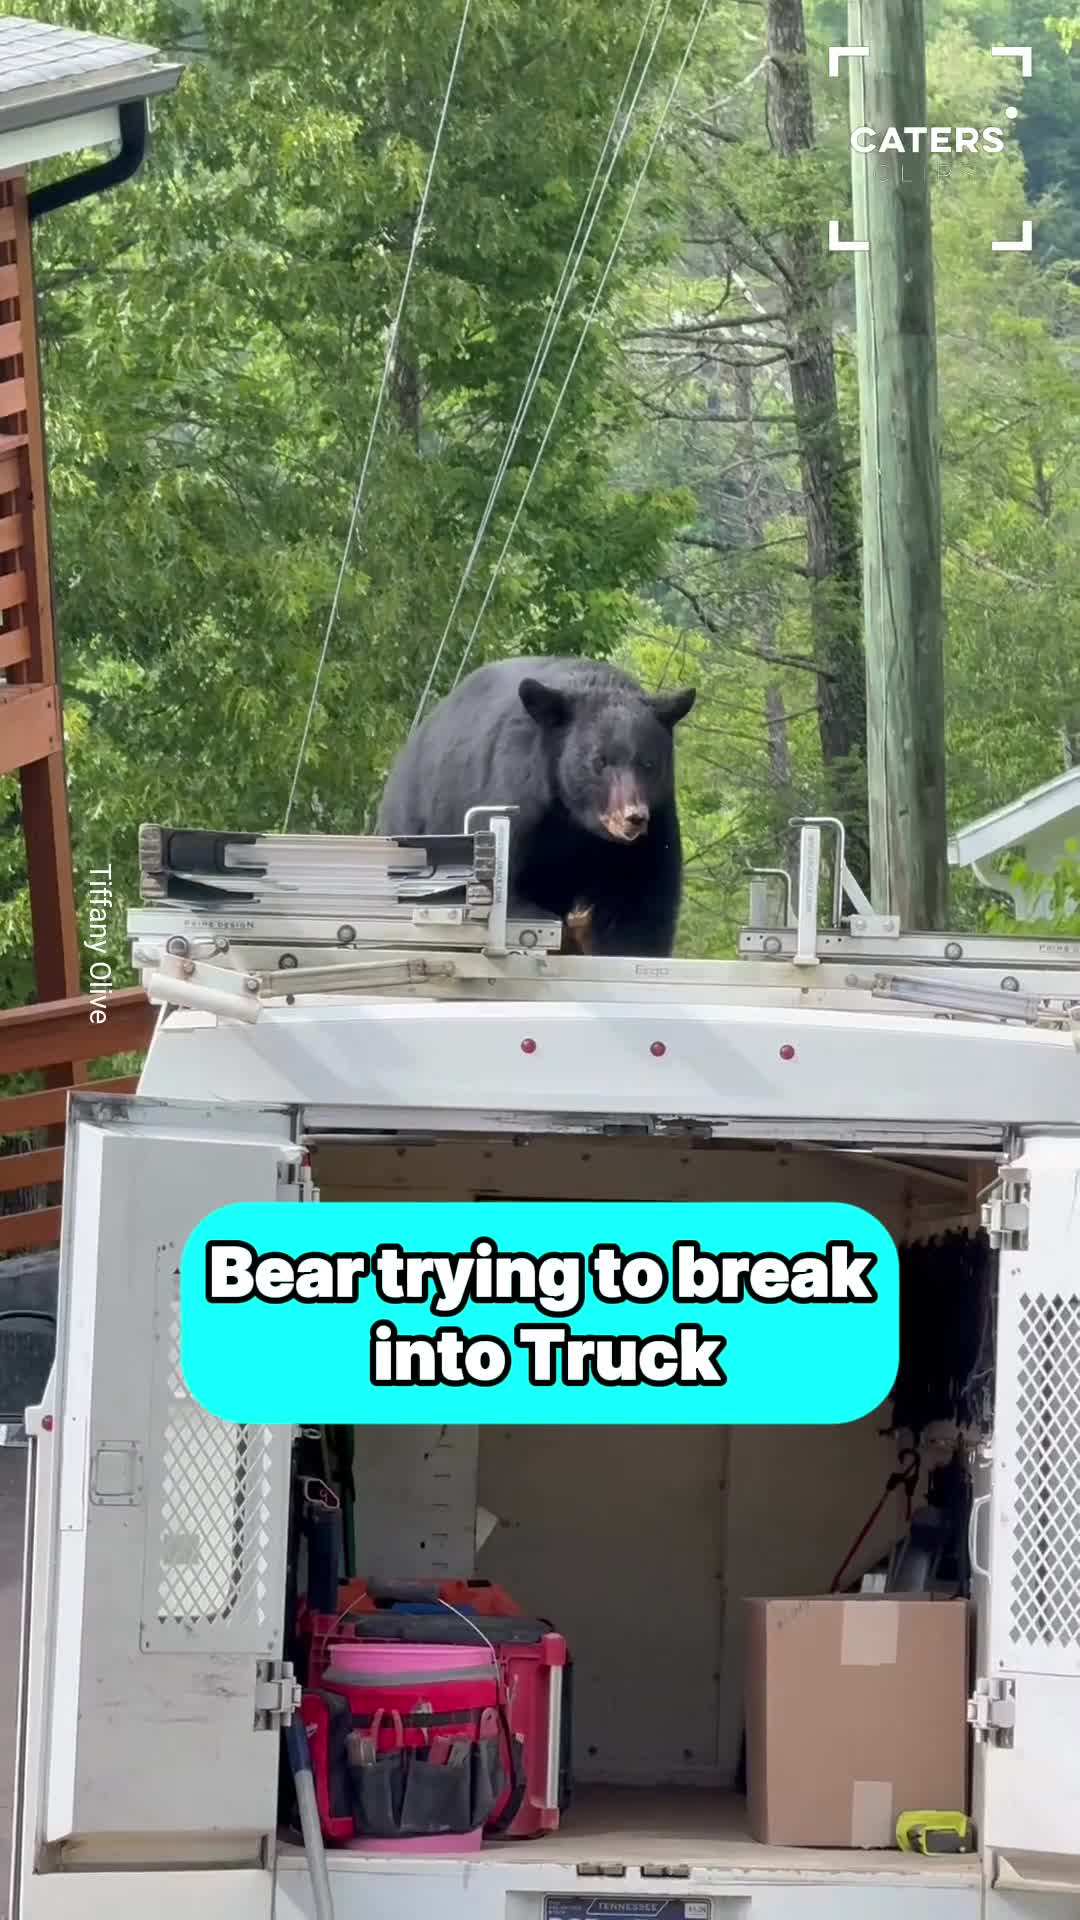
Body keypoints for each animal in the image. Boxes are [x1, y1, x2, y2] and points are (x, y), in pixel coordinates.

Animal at [376, 655, 697, 957]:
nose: (633, 817)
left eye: (649, 763)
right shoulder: (516, 794)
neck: (575, 819)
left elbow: (639, 905)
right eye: (599, 761)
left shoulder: (652, 828)